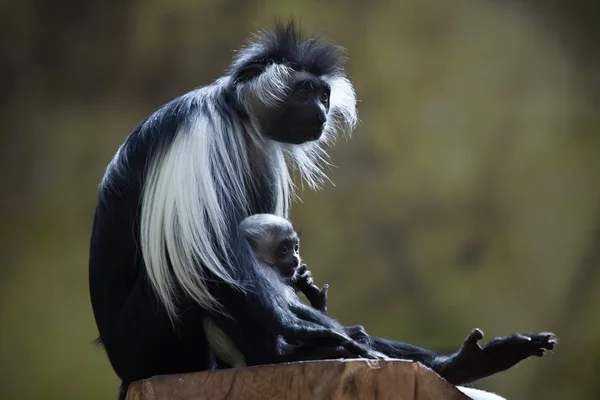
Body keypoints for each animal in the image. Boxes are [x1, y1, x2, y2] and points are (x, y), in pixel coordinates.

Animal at [89, 20, 556, 398]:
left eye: (323, 95)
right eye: (303, 91)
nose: (320, 112)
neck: (237, 114)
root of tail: (120, 363)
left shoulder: (263, 155)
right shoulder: (200, 135)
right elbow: (211, 259)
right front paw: (301, 329)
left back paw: (459, 363)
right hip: (151, 338)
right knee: (195, 269)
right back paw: (282, 354)